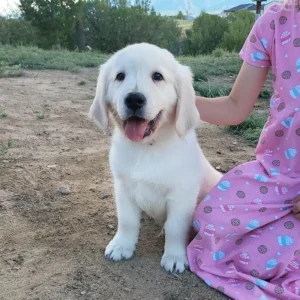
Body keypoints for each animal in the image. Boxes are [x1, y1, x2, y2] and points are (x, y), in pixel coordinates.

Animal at [89, 43, 220, 274]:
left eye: (158, 76)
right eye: (120, 76)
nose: (134, 99)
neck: (147, 148)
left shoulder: (181, 195)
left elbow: (176, 227)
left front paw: (175, 256)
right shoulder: (123, 187)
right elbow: (127, 221)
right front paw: (122, 245)